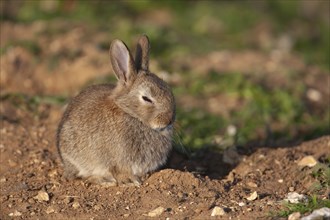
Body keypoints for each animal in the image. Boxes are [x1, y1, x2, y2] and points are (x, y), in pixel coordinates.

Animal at [56, 34, 175, 186]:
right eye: (146, 98)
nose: (169, 119)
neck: (130, 113)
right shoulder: (116, 161)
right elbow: (118, 170)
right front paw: (130, 181)